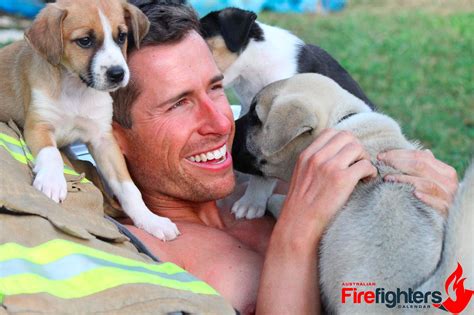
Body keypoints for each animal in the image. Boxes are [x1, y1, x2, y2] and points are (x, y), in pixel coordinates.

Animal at [0, 0, 181, 242]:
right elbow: (51, 154)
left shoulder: (103, 140)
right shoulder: (38, 126)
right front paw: (52, 182)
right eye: (85, 41)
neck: (76, 89)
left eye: (122, 36)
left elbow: (128, 187)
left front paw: (150, 219)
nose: (118, 74)